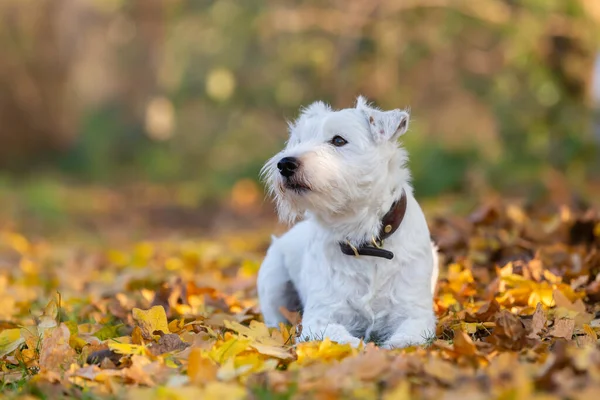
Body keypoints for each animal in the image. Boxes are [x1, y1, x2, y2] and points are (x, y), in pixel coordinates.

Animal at [256, 97, 436, 346]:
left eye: (339, 140)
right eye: (299, 141)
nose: (285, 164)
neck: (362, 238)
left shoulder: (415, 315)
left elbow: (406, 339)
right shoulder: (320, 319)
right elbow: (343, 340)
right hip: (273, 282)